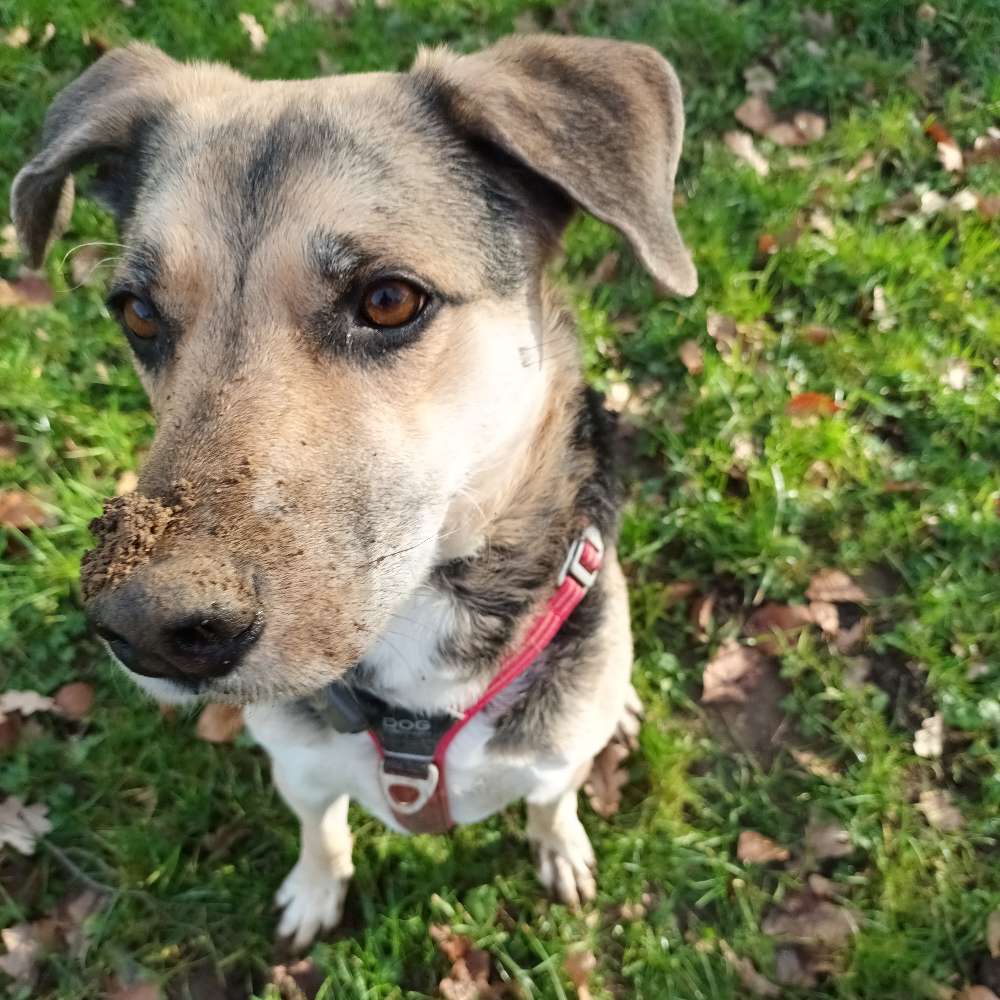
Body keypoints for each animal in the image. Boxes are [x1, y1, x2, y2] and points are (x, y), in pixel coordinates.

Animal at [13, 35, 696, 948]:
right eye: (137, 313)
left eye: (389, 299)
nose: (150, 630)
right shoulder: (300, 770)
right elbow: (322, 829)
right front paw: (315, 889)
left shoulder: (551, 766)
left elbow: (551, 807)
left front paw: (562, 851)